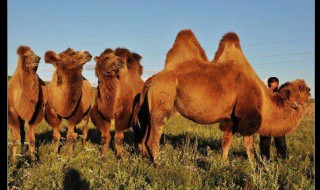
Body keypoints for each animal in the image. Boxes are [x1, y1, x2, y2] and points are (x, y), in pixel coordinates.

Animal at [132, 29, 310, 165]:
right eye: (301, 89)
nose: (309, 90)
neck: (264, 100)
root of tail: (152, 79)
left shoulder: (231, 119)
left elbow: (226, 143)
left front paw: (224, 164)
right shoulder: (248, 116)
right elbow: (249, 146)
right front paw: (254, 166)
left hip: (149, 110)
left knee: (144, 137)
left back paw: (145, 159)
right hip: (162, 103)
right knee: (153, 138)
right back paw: (158, 164)